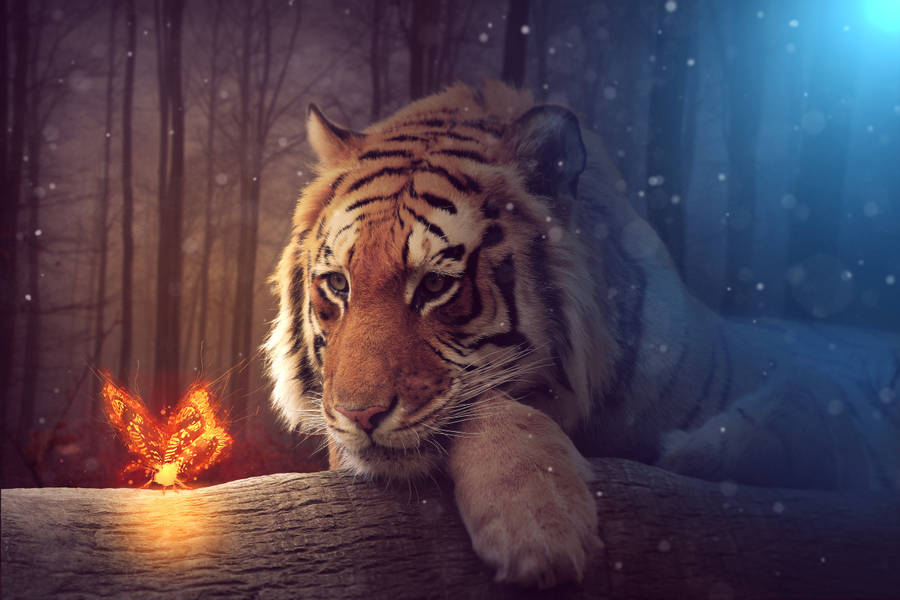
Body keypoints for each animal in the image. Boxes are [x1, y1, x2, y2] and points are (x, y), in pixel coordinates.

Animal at [264, 81, 900, 588]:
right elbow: (487, 402)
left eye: (436, 286)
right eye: (338, 285)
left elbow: (805, 406)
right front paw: (539, 527)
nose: (358, 415)